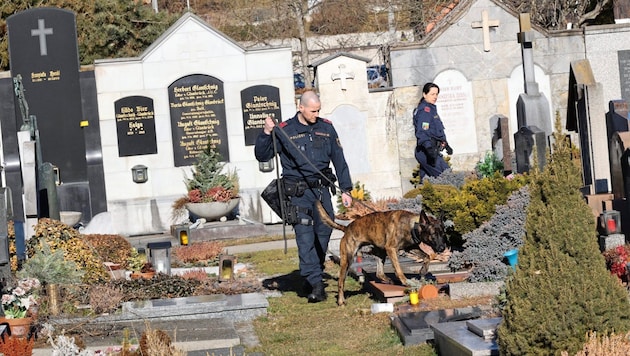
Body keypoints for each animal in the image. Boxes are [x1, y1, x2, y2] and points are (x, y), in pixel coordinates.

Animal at [316, 200, 450, 306]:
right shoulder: (391, 249)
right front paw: (406, 282)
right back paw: (341, 301)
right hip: (348, 260)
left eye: (443, 234)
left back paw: (389, 280)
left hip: (380, 253)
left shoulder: (410, 248)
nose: (443, 248)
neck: (411, 225)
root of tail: (347, 228)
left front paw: (423, 270)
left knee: (379, 273)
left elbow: (428, 256)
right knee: (341, 281)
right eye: (433, 234)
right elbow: (399, 270)